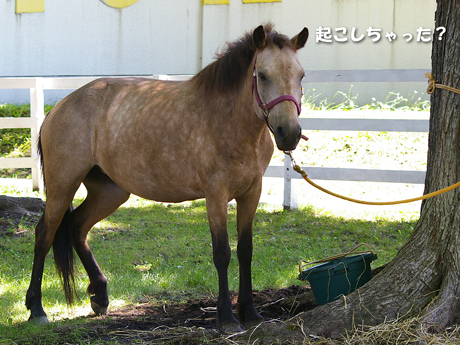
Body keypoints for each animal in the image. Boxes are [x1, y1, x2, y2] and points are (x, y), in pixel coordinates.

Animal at [25, 23, 310, 330]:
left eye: (301, 75)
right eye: (262, 75)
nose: (288, 133)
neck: (230, 122)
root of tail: (58, 108)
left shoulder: (251, 193)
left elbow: (245, 251)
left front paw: (250, 312)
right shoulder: (216, 195)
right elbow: (222, 253)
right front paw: (227, 317)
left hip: (109, 192)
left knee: (77, 227)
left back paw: (100, 294)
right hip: (62, 186)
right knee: (44, 235)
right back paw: (36, 308)